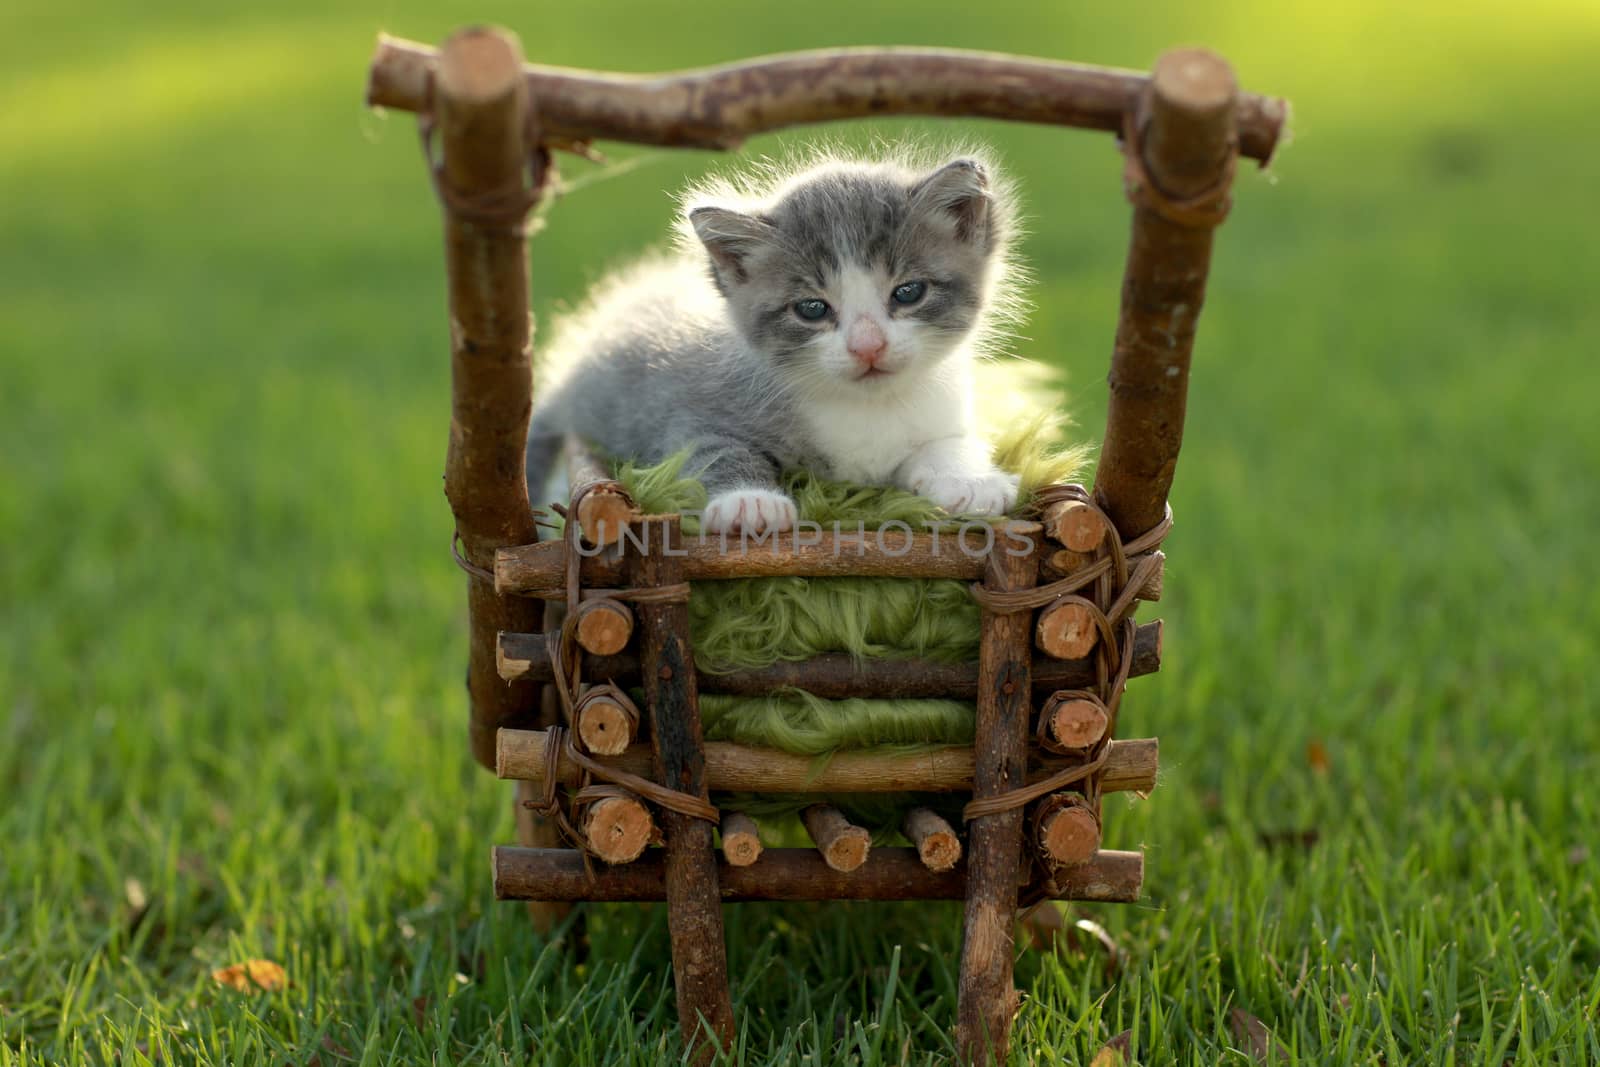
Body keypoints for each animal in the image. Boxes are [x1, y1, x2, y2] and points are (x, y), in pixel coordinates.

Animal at [524, 150, 1024, 534]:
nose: (868, 346)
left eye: (908, 292)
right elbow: (711, 448)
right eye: (812, 308)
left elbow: (951, 442)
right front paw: (749, 502)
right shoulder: (684, 412)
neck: (864, 408)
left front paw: (970, 480)